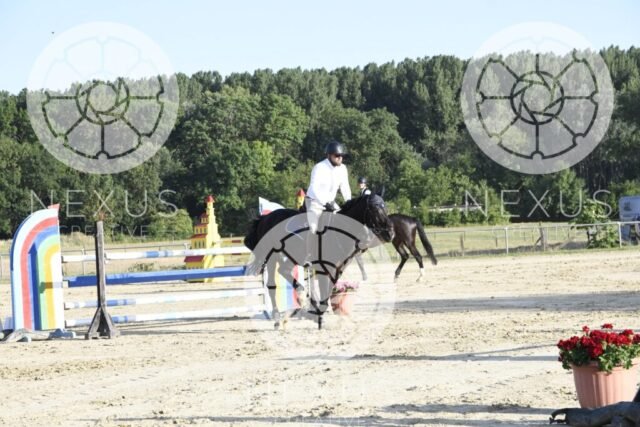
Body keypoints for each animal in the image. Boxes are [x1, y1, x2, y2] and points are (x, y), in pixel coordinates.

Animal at [244, 194, 394, 329]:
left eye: (385, 208)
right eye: (375, 210)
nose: (390, 234)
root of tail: (265, 217)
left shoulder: (336, 270)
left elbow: (326, 296)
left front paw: (316, 315)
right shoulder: (324, 269)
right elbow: (324, 295)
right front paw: (317, 316)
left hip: (290, 258)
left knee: (284, 271)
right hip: (272, 258)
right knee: (272, 286)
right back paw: (279, 317)